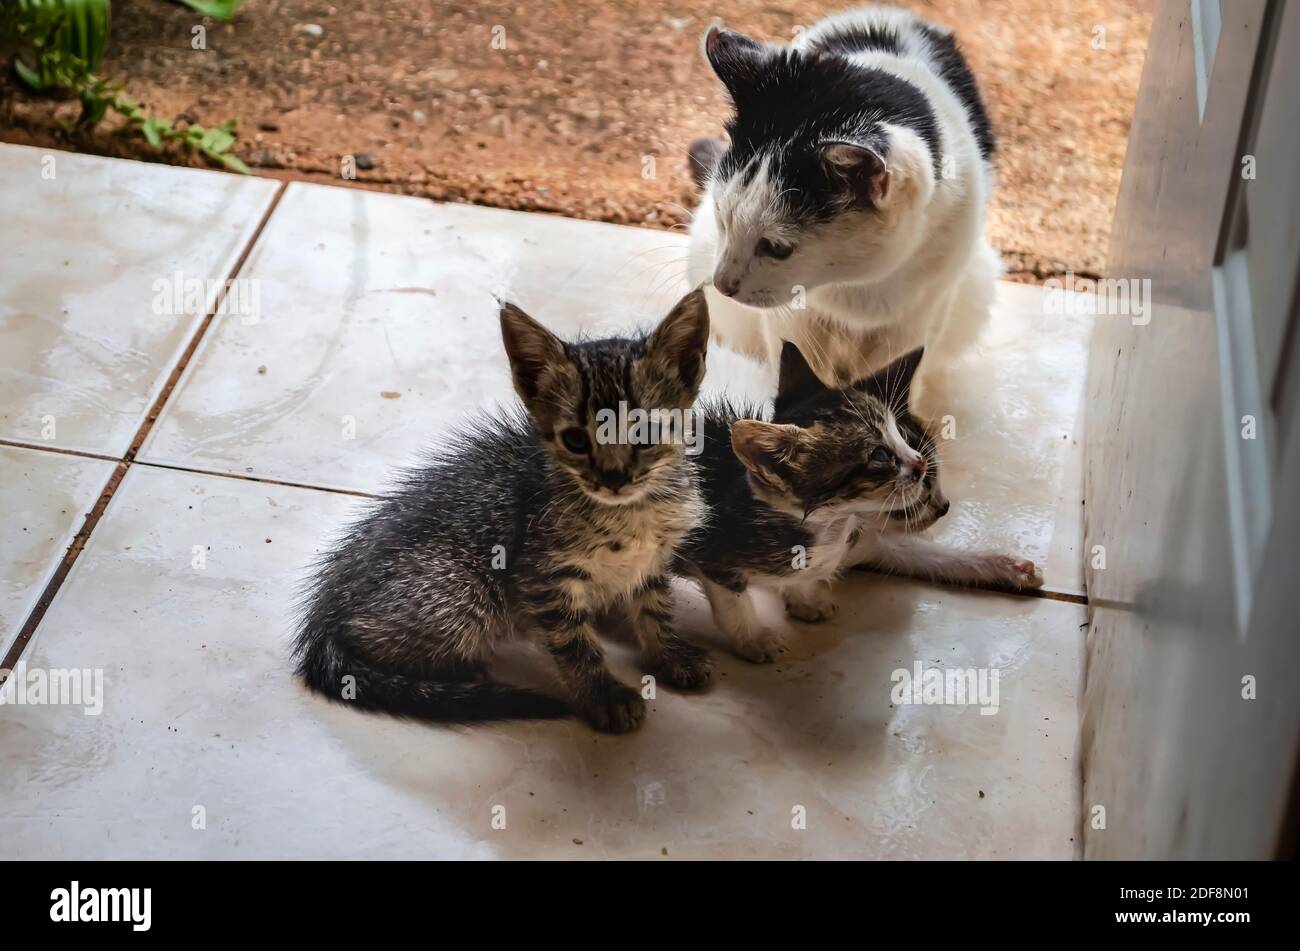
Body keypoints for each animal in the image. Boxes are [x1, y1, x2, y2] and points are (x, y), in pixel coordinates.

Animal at [293, 285, 712, 732]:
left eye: (646, 433)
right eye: (576, 440)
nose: (614, 478)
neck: (633, 511)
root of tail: (325, 611)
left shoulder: (653, 560)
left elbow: (655, 608)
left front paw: (669, 653)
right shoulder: (542, 578)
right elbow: (574, 644)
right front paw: (604, 694)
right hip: (465, 596)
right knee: (366, 638)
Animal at [681, 340, 1034, 659]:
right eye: (924, 486)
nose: (944, 507)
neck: (843, 524)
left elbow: (922, 554)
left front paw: (1004, 566)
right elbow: (734, 596)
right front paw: (753, 638)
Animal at [686, 5, 998, 415]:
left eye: (777, 247)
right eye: (724, 218)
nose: (722, 283)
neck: (855, 285)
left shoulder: (917, 319)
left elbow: (896, 374)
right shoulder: (795, 317)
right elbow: (801, 365)